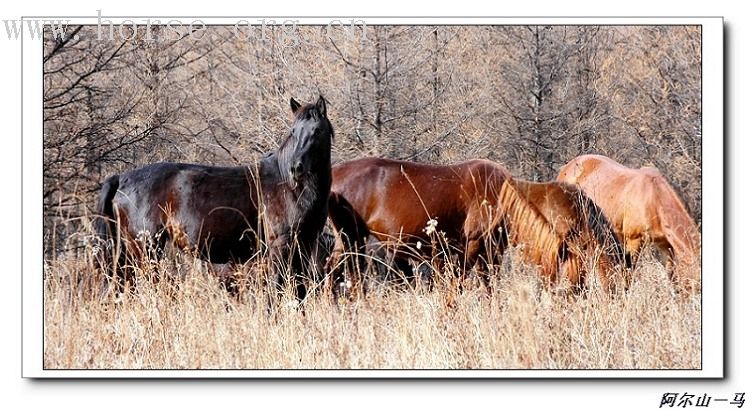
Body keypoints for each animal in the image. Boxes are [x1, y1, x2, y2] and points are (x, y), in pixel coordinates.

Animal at [94, 96, 332, 302]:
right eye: (294, 131)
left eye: (317, 130)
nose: (296, 168)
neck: (288, 185)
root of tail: (121, 178)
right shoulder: (281, 247)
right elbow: (277, 291)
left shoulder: (304, 247)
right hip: (145, 250)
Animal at [556, 154, 700, 292]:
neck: (652, 196)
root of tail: (565, 169)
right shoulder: (634, 241)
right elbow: (628, 275)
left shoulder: (664, 245)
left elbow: (672, 277)